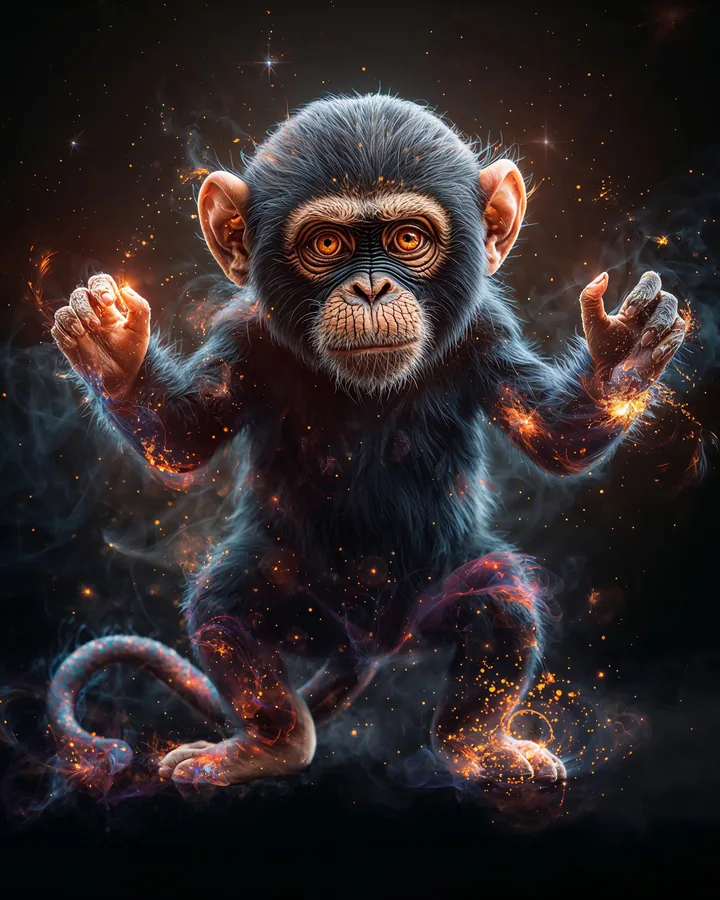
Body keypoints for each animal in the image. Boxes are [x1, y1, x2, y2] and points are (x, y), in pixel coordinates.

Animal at [48, 94, 686, 789]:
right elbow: (182, 435)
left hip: (433, 598)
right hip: (300, 609)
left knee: (503, 601)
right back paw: (267, 747)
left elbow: (555, 437)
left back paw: (479, 747)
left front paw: (622, 358)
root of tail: (373, 649)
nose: (373, 287)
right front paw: (115, 352)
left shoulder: (484, 334)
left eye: (408, 239)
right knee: (224, 611)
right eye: (327, 243)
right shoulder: (245, 337)